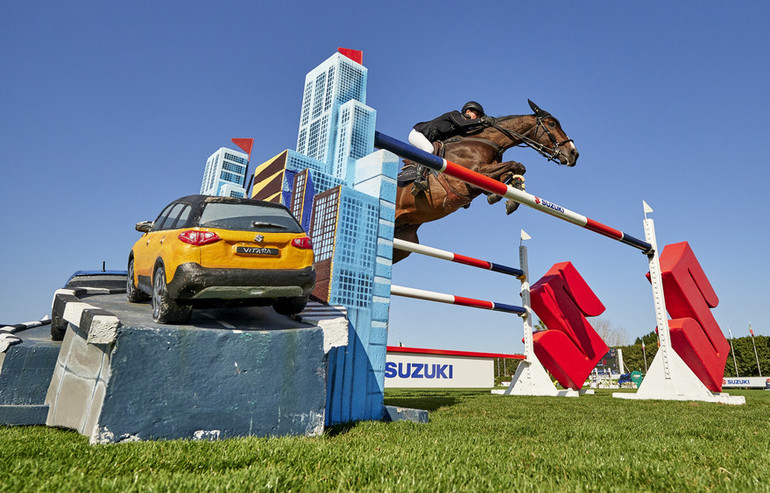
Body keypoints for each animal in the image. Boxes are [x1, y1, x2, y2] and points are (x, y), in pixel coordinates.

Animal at [392, 99, 580, 262]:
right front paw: (509, 195)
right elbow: (516, 165)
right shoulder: (472, 176)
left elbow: (511, 172)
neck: (485, 140)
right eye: (552, 124)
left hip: (403, 244)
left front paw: (508, 194)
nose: (574, 154)